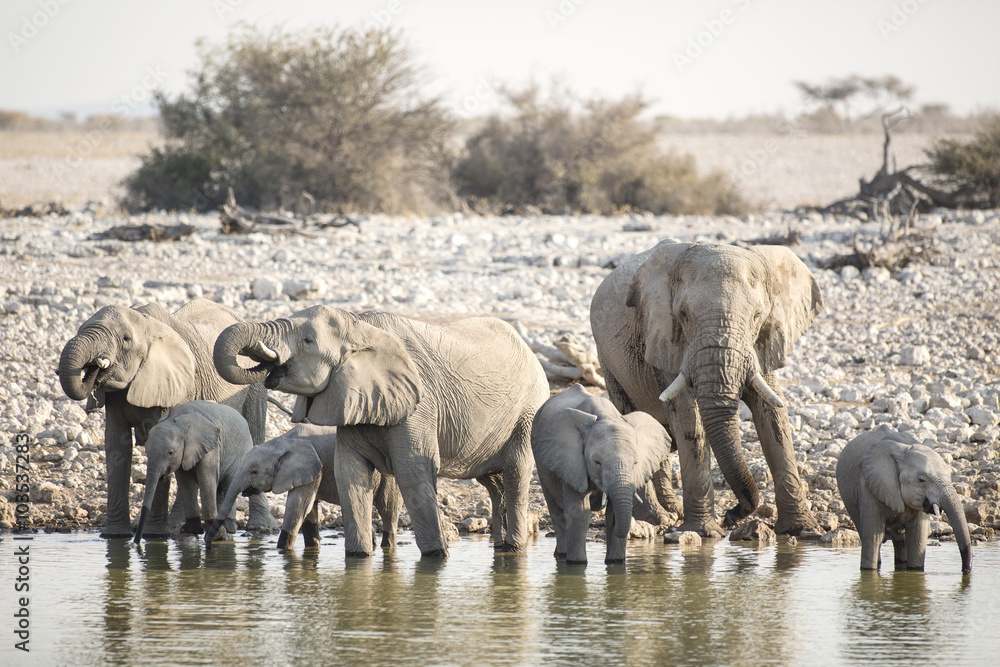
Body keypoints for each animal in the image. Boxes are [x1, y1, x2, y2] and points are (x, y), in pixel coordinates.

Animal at [133, 401, 252, 544]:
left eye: (170, 453)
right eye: (146, 451)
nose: (136, 544)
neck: (178, 421)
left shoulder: (211, 447)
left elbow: (206, 480)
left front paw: (217, 535)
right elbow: (186, 483)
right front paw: (190, 530)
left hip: (242, 454)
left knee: (229, 485)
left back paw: (229, 528)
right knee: (220, 490)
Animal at [204, 423, 403, 551]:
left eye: (254, 472)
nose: (209, 543)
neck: (281, 442)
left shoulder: (313, 467)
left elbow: (298, 506)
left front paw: (282, 551)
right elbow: (309, 510)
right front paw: (312, 547)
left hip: (390, 474)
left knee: (387, 508)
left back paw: (387, 546)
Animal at [532, 384, 672, 564]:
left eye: (635, 463)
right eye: (597, 462)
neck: (606, 417)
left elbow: (613, 514)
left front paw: (615, 563)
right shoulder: (572, 464)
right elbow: (579, 513)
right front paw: (577, 564)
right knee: (556, 509)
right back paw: (561, 555)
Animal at [590, 241, 823, 537]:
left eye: (757, 316)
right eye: (683, 315)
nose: (732, 514)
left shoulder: (761, 343)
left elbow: (772, 413)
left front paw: (802, 530)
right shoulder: (668, 340)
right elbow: (689, 418)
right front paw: (704, 533)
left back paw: (671, 511)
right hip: (609, 364)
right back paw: (657, 519)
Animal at [836, 425, 972, 574]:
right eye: (921, 480)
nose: (966, 570)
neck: (902, 449)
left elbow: (917, 537)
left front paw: (915, 570)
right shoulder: (868, 485)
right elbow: (873, 537)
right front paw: (869, 571)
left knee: (901, 542)